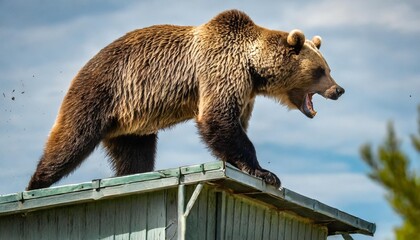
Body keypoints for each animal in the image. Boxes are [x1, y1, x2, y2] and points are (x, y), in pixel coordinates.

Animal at [27, 9, 346, 190]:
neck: (252, 67)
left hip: (131, 121)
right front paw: (265, 171)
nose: (338, 90)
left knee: (134, 155)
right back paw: (36, 182)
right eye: (320, 70)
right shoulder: (221, 69)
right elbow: (218, 119)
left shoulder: (245, 91)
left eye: (328, 68)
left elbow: (231, 126)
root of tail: (82, 67)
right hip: (100, 90)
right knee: (71, 140)